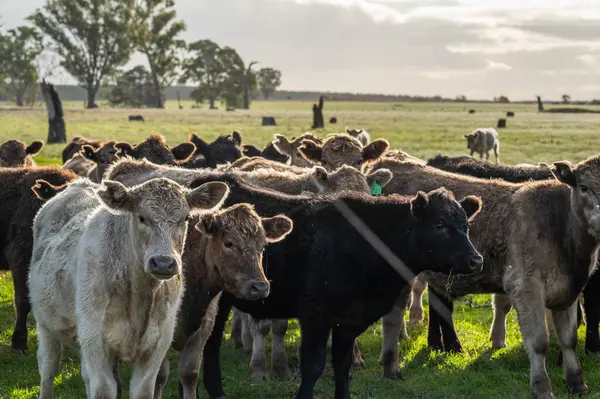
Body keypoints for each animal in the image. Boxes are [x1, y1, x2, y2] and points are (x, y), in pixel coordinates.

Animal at [25, 179, 229, 399]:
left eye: (185, 218)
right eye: (142, 217)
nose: (163, 263)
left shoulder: (157, 346)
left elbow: (142, 390)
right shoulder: (95, 342)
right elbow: (104, 390)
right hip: (46, 326)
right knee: (48, 369)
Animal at [370, 159, 600, 399]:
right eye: (584, 187)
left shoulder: (567, 290)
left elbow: (569, 339)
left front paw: (577, 382)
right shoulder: (527, 289)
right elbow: (539, 342)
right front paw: (542, 387)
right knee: (393, 317)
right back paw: (391, 367)